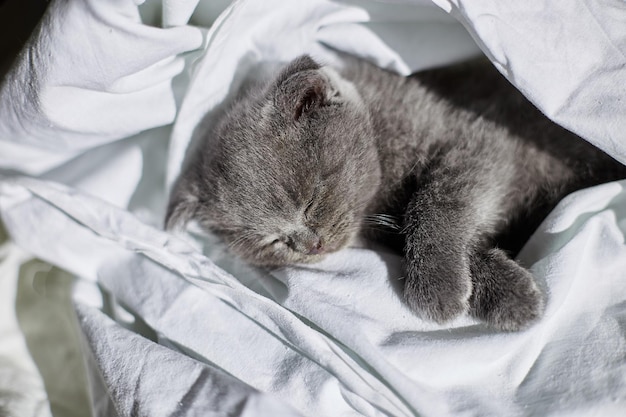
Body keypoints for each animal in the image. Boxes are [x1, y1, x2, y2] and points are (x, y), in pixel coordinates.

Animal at [165, 53, 624, 330]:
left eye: (312, 196)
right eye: (270, 242)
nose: (310, 245)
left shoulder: (480, 139)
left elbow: (435, 202)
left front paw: (437, 289)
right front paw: (508, 296)